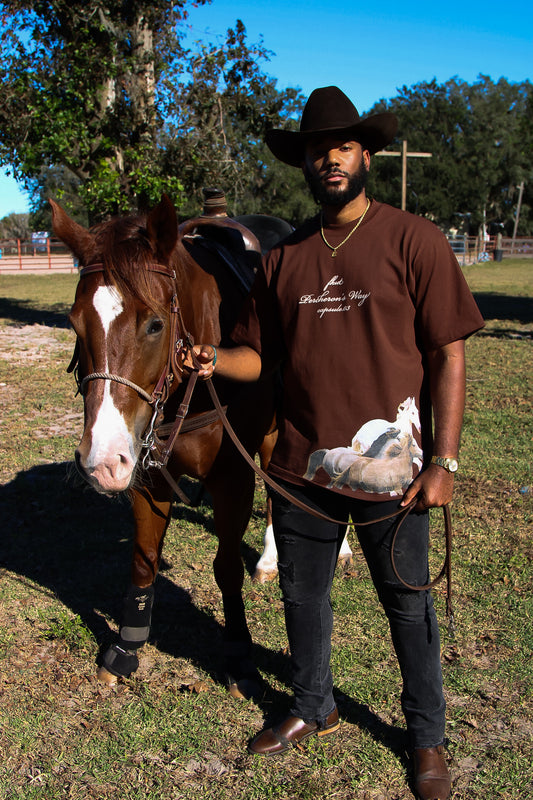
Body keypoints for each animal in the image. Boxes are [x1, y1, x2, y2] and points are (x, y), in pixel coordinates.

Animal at [52, 195, 276, 692]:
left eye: (155, 325)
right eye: (75, 324)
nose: (99, 461)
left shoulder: (233, 478)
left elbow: (226, 567)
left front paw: (238, 654)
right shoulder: (147, 475)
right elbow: (144, 559)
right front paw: (128, 643)